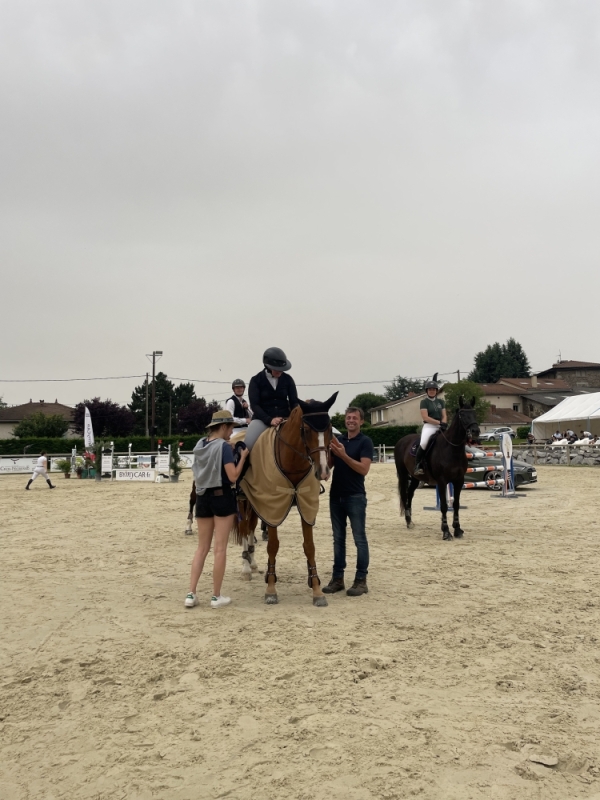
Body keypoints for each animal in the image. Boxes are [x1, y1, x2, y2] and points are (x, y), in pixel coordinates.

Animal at [396, 396, 480, 540]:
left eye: (474, 413)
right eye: (462, 414)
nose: (475, 431)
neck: (452, 448)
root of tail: (402, 440)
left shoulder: (459, 481)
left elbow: (456, 505)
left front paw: (457, 529)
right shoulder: (442, 481)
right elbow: (444, 506)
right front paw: (446, 532)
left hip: (415, 478)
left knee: (410, 494)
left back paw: (410, 521)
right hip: (403, 475)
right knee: (405, 494)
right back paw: (408, 521)